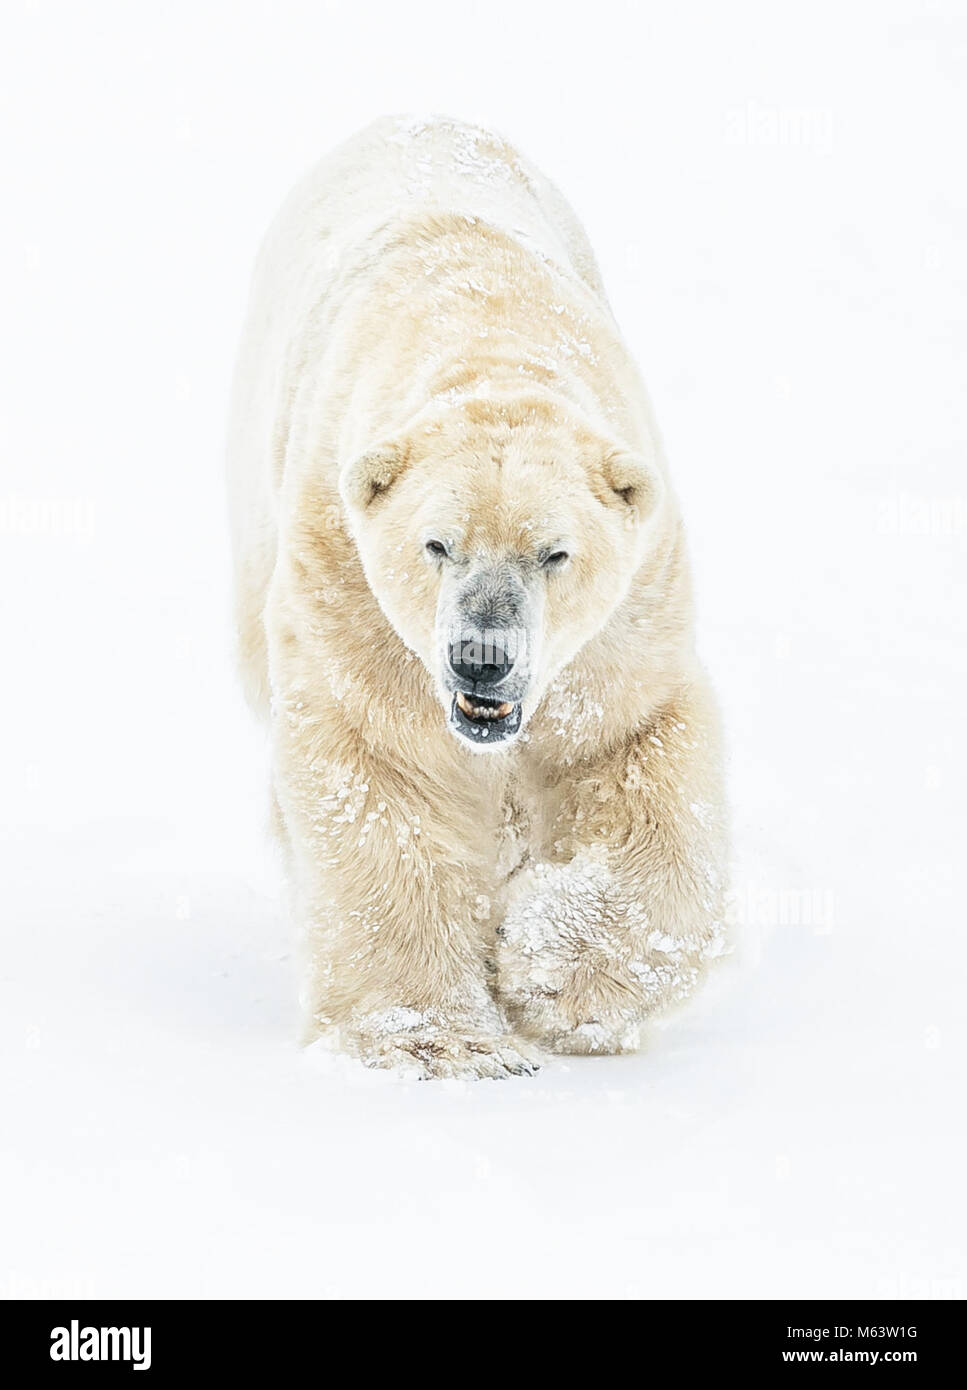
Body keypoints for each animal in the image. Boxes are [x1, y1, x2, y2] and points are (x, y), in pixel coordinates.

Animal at [226, 116, 722, 1073]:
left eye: (554, 553)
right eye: (436, 544)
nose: (480, 660)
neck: (486, 336)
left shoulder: (632, 601)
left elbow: (628, 746)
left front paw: (557, 981)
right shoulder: (346, 571)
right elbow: (380, 761)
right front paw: (436, 1040)